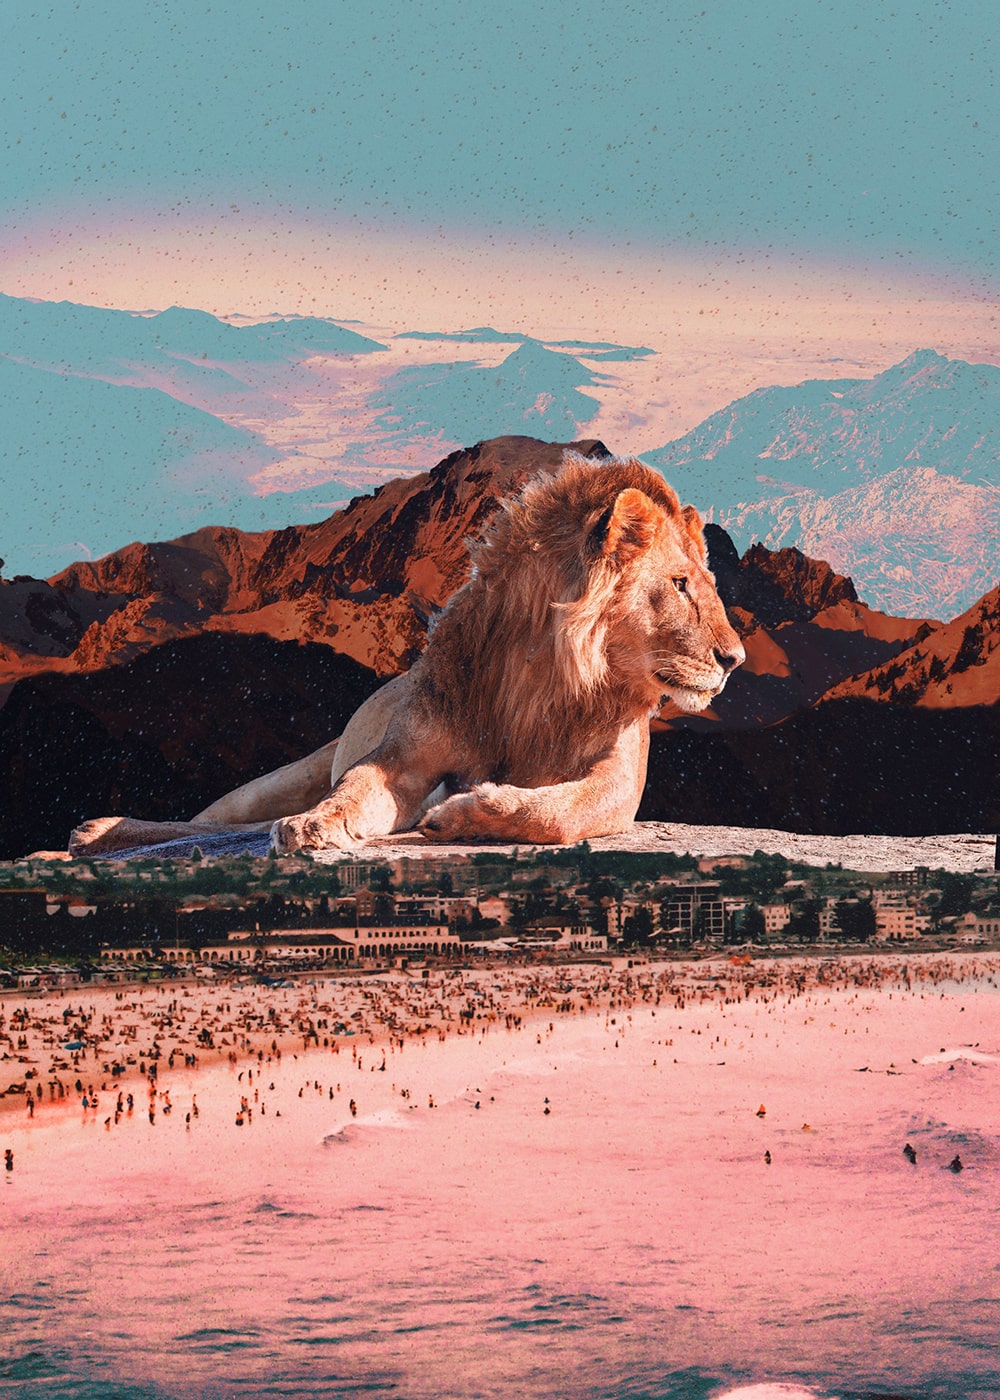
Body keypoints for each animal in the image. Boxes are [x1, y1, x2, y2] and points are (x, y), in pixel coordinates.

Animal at [68, 454, 744, 857]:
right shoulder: (404, 756)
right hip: (283, 776)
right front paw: (318, 823)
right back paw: (97, 830)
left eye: (706, 583)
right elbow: (359, 785)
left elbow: (558, 813)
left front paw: (463, 812)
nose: (734, 659)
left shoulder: (619, 781)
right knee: (216, 820)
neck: (544, 683)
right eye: (681, 584)